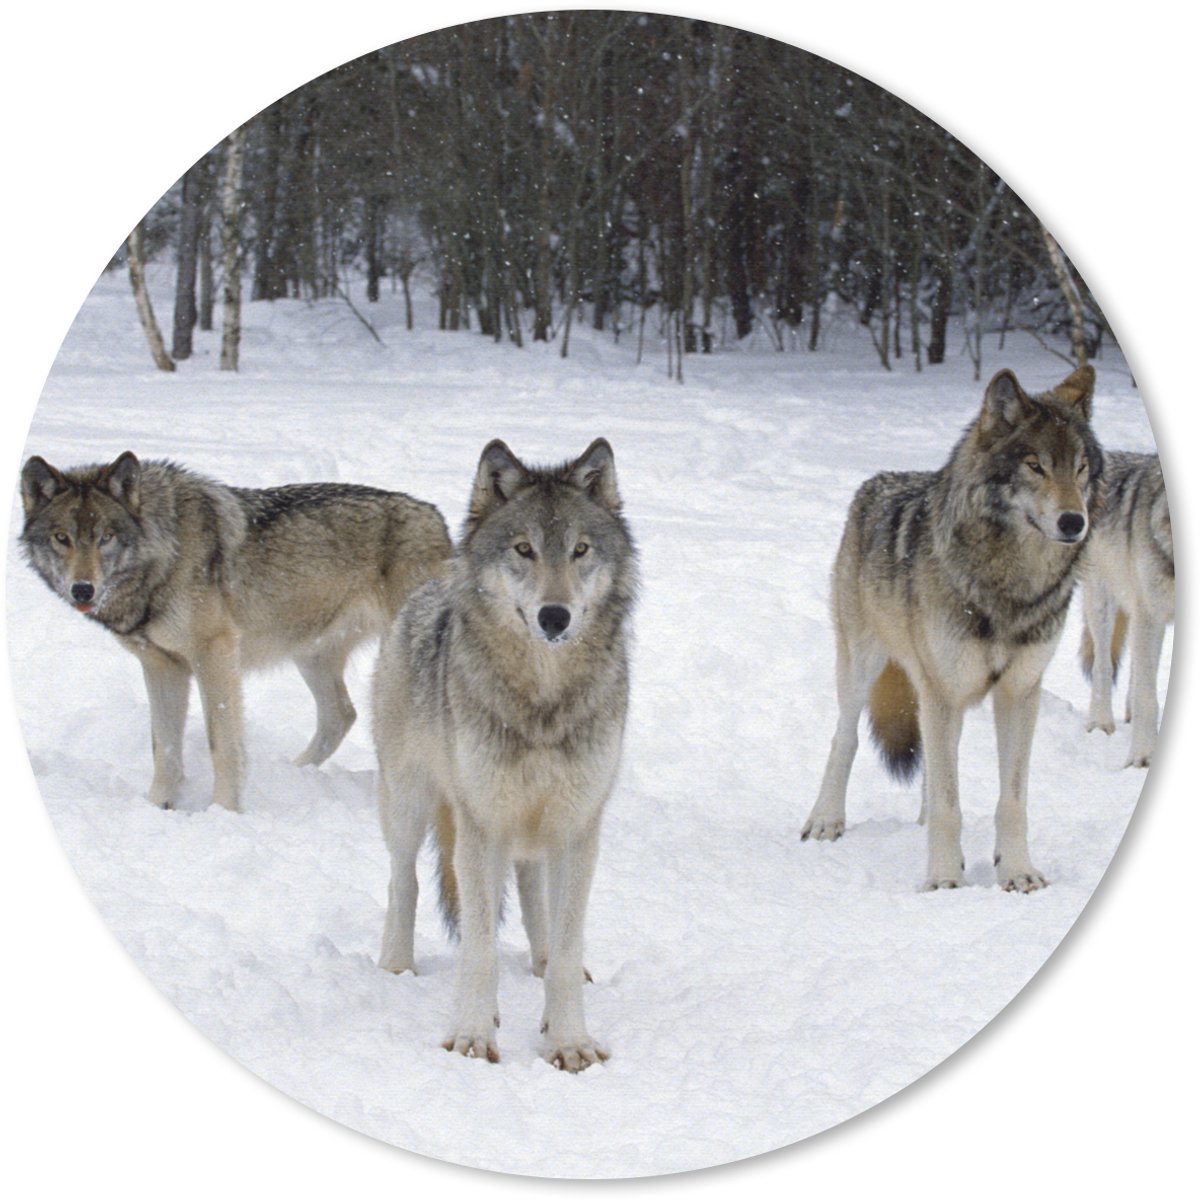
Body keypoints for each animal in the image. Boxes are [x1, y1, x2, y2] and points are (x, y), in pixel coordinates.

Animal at [20, 451, 452, 812]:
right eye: (62, 538)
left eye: (105, 537)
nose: (82, 589)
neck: (165, 554)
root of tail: (437, 518)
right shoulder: (162, 666)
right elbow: (164, 747)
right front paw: (157, 806)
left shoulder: (214, 655)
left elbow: (222, 744)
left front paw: (224, 811)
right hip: (310, 654)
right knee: (341, 714)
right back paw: (295, 773)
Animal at [373, 438, 637, 1072]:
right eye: (523, 549)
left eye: (580, 550)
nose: (554, 616)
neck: (542, 699)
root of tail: (429, 585)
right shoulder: (480, 825)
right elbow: (478, 946)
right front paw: (473, 1035)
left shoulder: (577, 826)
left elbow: (566, 944)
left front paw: (568, 1040)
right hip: (409, 802)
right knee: (403, 880)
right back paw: (396, 966)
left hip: (534, 827)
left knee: (535, 894)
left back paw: (539, 964)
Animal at [801, 366, 1101, 892]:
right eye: (1035, 466)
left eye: (1081, 467)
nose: (1073, 522)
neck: (1009, 587)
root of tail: (878, 481)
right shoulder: (943, 689)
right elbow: (949, 804)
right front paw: (943, 880)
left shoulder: (1019, 692)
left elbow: (1011, 801)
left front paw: (1017, 872)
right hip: (866, 667)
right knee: (846, 738)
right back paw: (825, 820)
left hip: (942, 695)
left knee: (935, 765)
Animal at [1079, 450, 1173, 767]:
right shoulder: (1150, 614)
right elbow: (1148, 699)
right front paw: (1143, 757)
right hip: (1103, 602)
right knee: (1104, 664)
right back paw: (1100, 723)